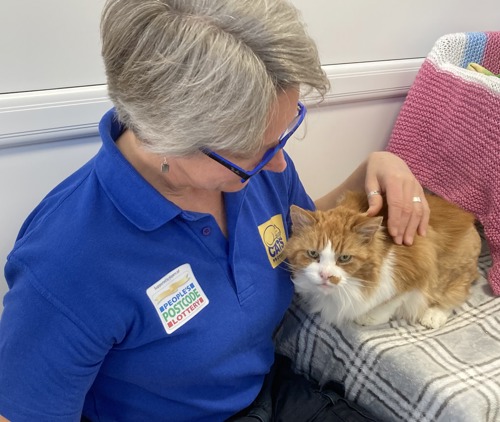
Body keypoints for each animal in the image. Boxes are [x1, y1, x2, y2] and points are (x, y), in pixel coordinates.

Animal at [288, 192, 482, 330]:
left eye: (344, 257)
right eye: (313, 253)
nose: (325, 275)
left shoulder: (416, 267)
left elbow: (392, 301)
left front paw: (370, 316)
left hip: (451, 272)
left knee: (455, 294)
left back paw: (433, 315)